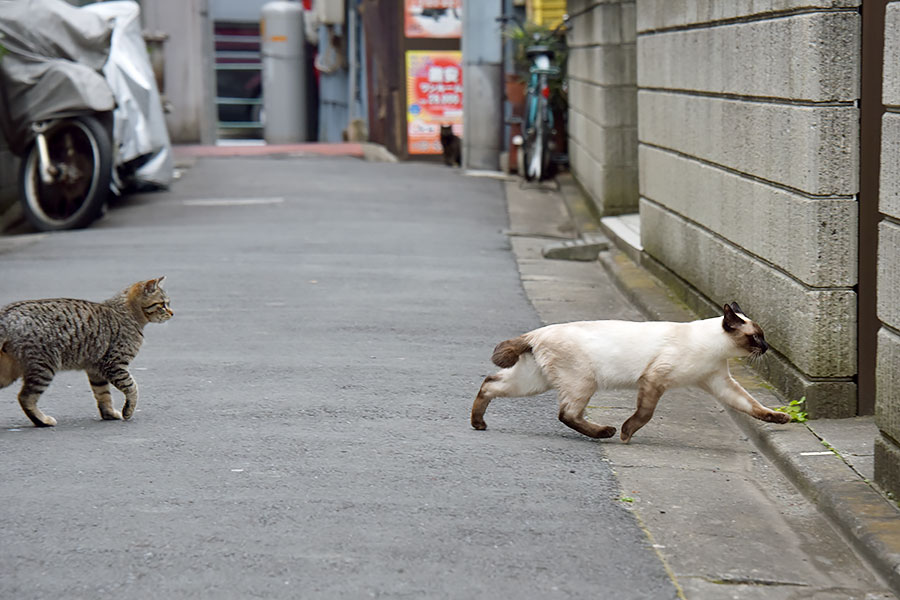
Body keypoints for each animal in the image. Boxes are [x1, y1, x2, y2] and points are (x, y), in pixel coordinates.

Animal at [0, 278, 172, 426]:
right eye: (163, 304)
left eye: (168, 303)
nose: (172, 313)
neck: (125, 313)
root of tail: (6, 313)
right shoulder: (114, 365)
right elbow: (132, 387)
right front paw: (128, 411)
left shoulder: (95, 369)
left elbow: (103, 394)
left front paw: (109, 413)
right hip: (44, 368)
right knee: (25, 397)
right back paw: (43, 421)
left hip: (11, 371)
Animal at [472, 302, 788, 442]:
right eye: (756, 337)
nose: (767, 348)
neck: (714, 349)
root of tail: (537, 332)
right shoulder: (654, 379)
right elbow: (644, 414)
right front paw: (626, 433)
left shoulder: (720, 383)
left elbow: (753, 405)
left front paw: (780, 418)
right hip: (582, 381)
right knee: (567, 414)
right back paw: (606, 432)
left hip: (533, 382)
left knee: (489, 383)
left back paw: (479, 424)